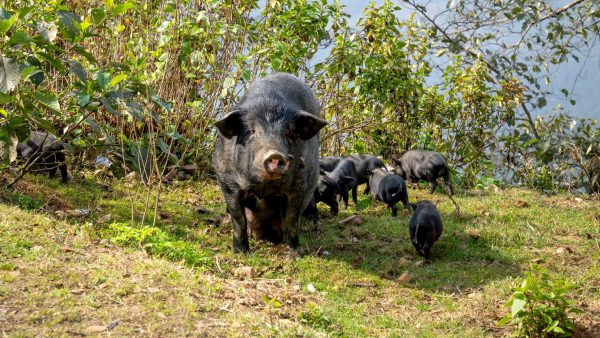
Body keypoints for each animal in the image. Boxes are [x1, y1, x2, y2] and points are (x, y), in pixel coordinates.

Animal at [209, 74, 326, 254]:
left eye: (288, 133)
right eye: (251, 131)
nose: (275, 154)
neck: (265, 188)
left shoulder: (299, 184)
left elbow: (292, 221)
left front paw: (296, 254)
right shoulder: (227, 181)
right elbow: (239, 220)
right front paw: (241, 252)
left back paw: (314, 222)